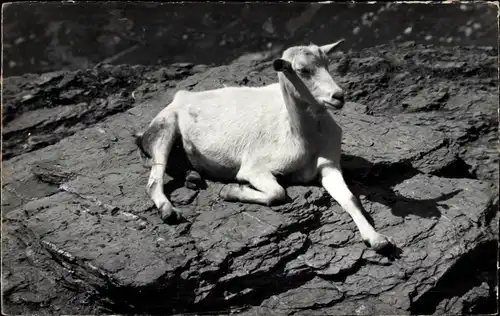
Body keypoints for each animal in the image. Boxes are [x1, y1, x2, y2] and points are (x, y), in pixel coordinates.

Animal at [135, 39, 392, 251]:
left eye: (327, 64)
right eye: (301, 70)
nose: (338, 96)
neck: (303, 138)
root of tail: (183, 95)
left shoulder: (329, 165)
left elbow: (350, 198)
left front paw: (376, 238)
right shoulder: (254, 168)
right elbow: (277, 193)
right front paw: (230, 191)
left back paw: (192, 177)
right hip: (164, 127)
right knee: (154, 180)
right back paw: (169, 211)